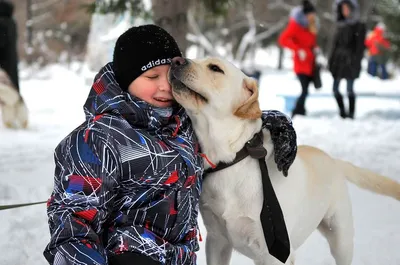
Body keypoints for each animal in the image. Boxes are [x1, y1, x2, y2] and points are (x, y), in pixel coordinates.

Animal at [169, 56, 400, 262]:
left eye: (215, 68)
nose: (176, 60)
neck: (233, 159)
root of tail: (332, 159)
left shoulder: (274, 252)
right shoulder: (217, 241)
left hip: (341, 238)